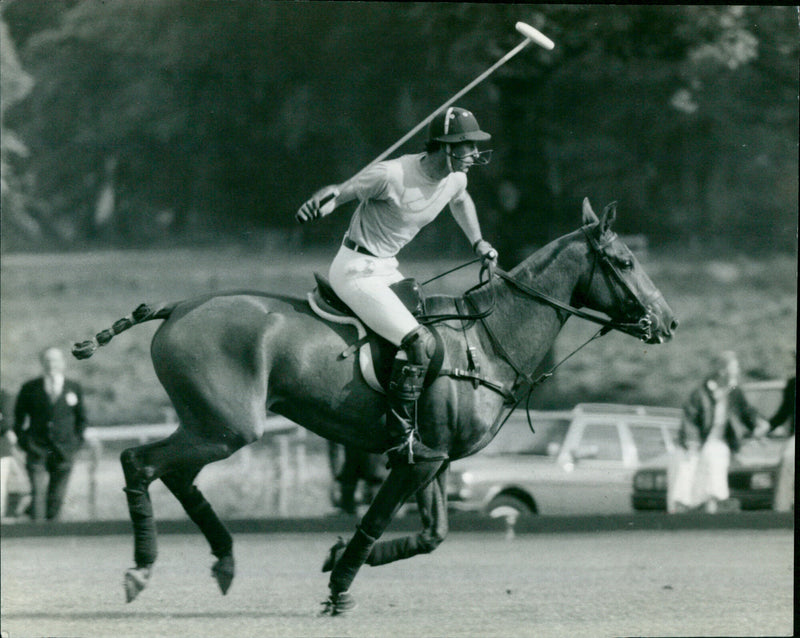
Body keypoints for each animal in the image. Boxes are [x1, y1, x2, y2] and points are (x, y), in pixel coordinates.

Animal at [73, 198, 676, 612]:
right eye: (624, 261)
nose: (668, 322)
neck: (488, 338)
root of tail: (175, 308)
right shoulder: (415, 459)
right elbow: (376, 519)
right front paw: (338, 587)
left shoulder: (434, 458)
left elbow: (432, 535)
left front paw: (333, 556)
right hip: (228, 426)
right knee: (139, 461)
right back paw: (143, 569)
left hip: (211, 424)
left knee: (174, 473)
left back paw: (223, 558)